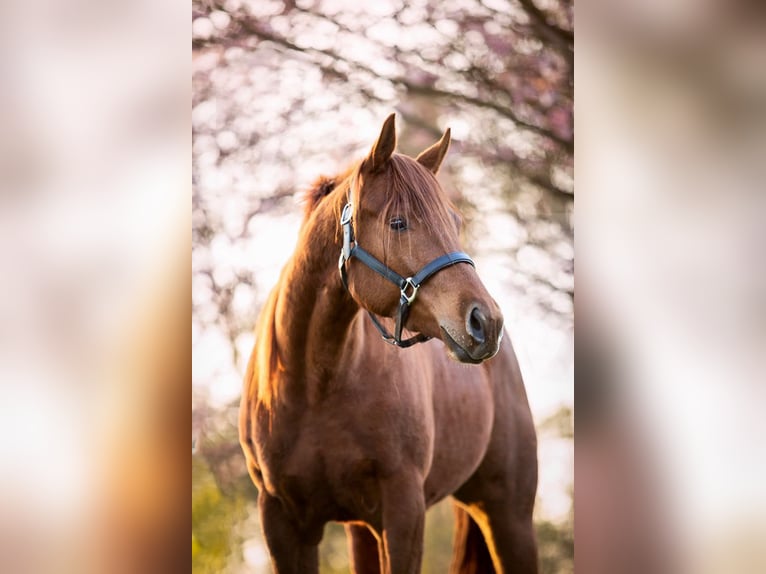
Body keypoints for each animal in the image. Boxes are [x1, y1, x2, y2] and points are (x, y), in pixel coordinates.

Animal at [239, 113, 538, 574]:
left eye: (455, 222)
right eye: (398, 222)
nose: (486, 322)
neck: (314, 387)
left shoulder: (402, 512)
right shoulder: (283, 523)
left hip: (509, 517)